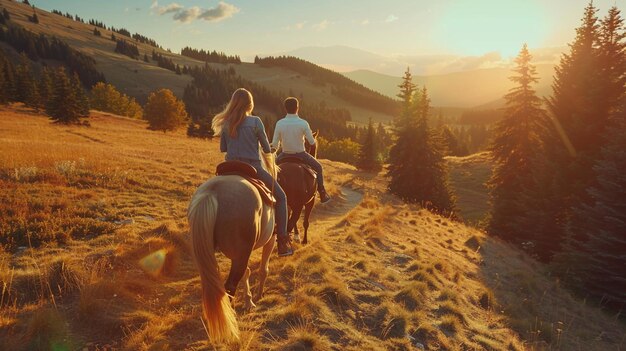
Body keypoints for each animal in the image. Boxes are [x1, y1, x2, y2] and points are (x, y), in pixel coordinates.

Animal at [188, 153, 278, 344]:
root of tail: (213, 191)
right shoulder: (271, 240)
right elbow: (263, 270)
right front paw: (258, 296)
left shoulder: (238, 253)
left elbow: (246, 273)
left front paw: (249, 301)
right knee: (229, 286)